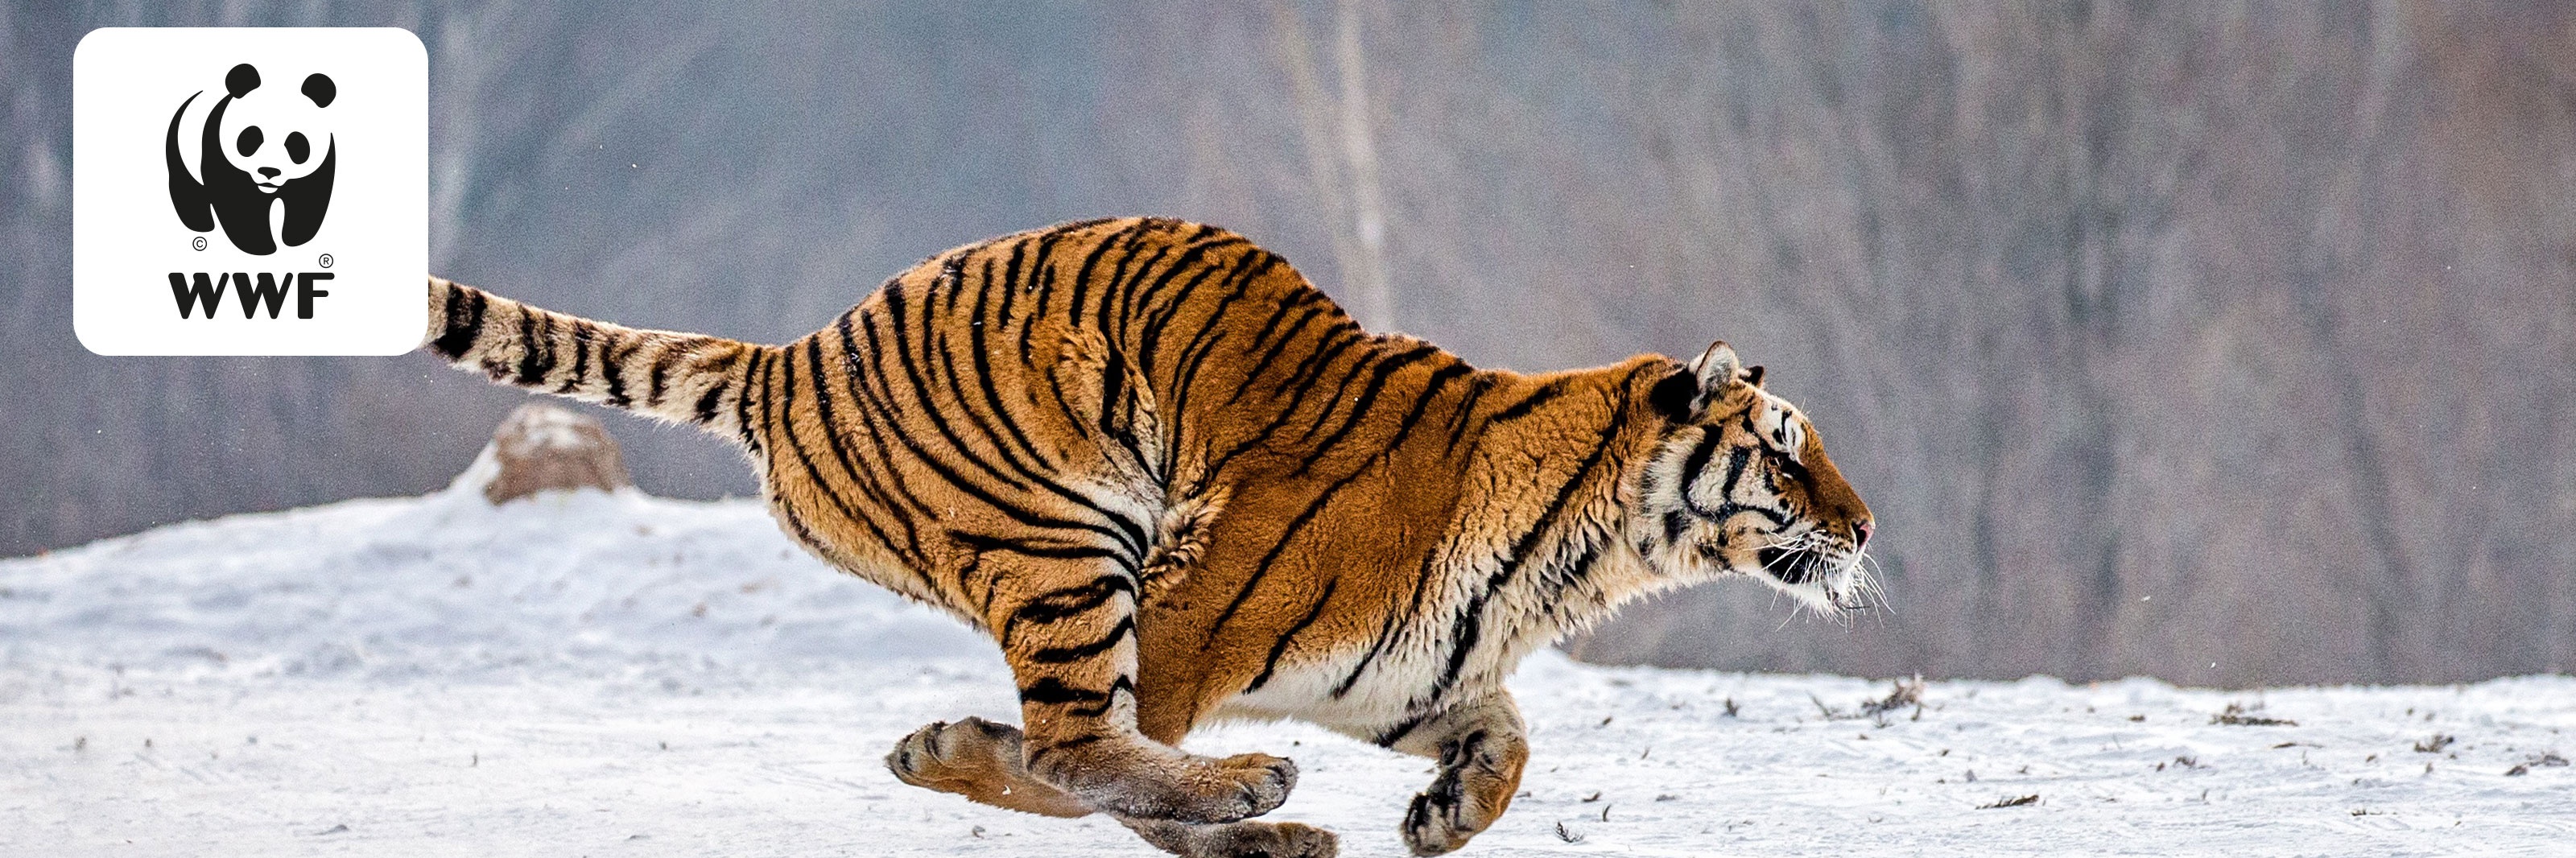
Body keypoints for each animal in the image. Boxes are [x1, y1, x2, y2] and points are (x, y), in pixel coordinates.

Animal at [422, 216, 1875, 858]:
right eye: (1786, 447)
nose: (1865, 525)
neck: (1576, 560)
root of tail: (796, 356)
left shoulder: (1398, 675)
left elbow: (1509, 734)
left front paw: (1449, 811)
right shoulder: (1186, 629)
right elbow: (1067, 767)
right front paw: (944, 754)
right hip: (1070, 537)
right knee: (1079, 745)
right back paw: (1251, 795)